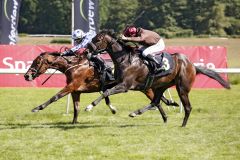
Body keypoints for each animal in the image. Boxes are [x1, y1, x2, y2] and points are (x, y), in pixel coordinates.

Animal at [24, 51, 177, 124]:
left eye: (36, 62)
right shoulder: (75, 91)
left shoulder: (71, 86)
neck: (73, 66)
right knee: (157, 101)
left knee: (156, 101)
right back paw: (165, 118)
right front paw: (74, 122)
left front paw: (37, 108)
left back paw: (163, 117)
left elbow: (55, 97)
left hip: (145, 88)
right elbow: (76, 107)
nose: (27, 76)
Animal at [85, 30, 231, 127]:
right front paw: (111, 108)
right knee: (155, 102)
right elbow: (104, 89)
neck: (125, 59)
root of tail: (192, 65)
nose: (86, 52)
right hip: (160, 86)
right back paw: (136, 112)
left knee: (187, 107)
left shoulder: (125, 85)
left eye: (97, 40)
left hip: (182, 88)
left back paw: (183, 124)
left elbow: (106, 92)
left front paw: (89, 106)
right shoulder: (118, 82)